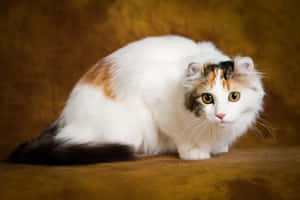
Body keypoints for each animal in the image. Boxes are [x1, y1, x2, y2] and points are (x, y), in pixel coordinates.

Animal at [8, 35, 264, 165]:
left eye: (234, 96)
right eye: (207, 98)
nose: (220, 115)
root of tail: (65, 119)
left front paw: (218, 148)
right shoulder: (157, 104)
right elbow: (180, 134)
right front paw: (193, 151)